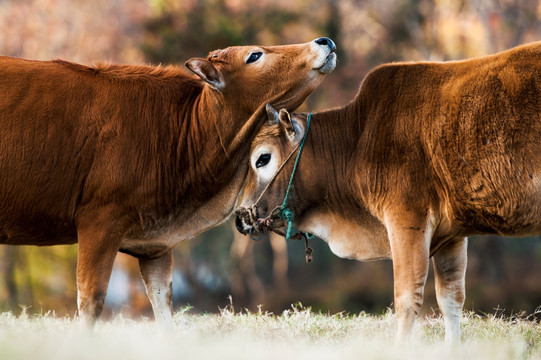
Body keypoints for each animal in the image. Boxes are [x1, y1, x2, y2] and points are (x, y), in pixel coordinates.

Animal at [0, 38, 336, 324]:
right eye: (254, 55)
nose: (325, 41)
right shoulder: (99, 220)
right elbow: (91, 301)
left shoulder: (155, 245)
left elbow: (163, 303)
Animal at [235, 42, 540, 346]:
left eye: (262, 159)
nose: (240, 217)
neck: (356, 140)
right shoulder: (452, 235)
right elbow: (451, 300)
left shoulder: (406, 220)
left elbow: (407, 299)